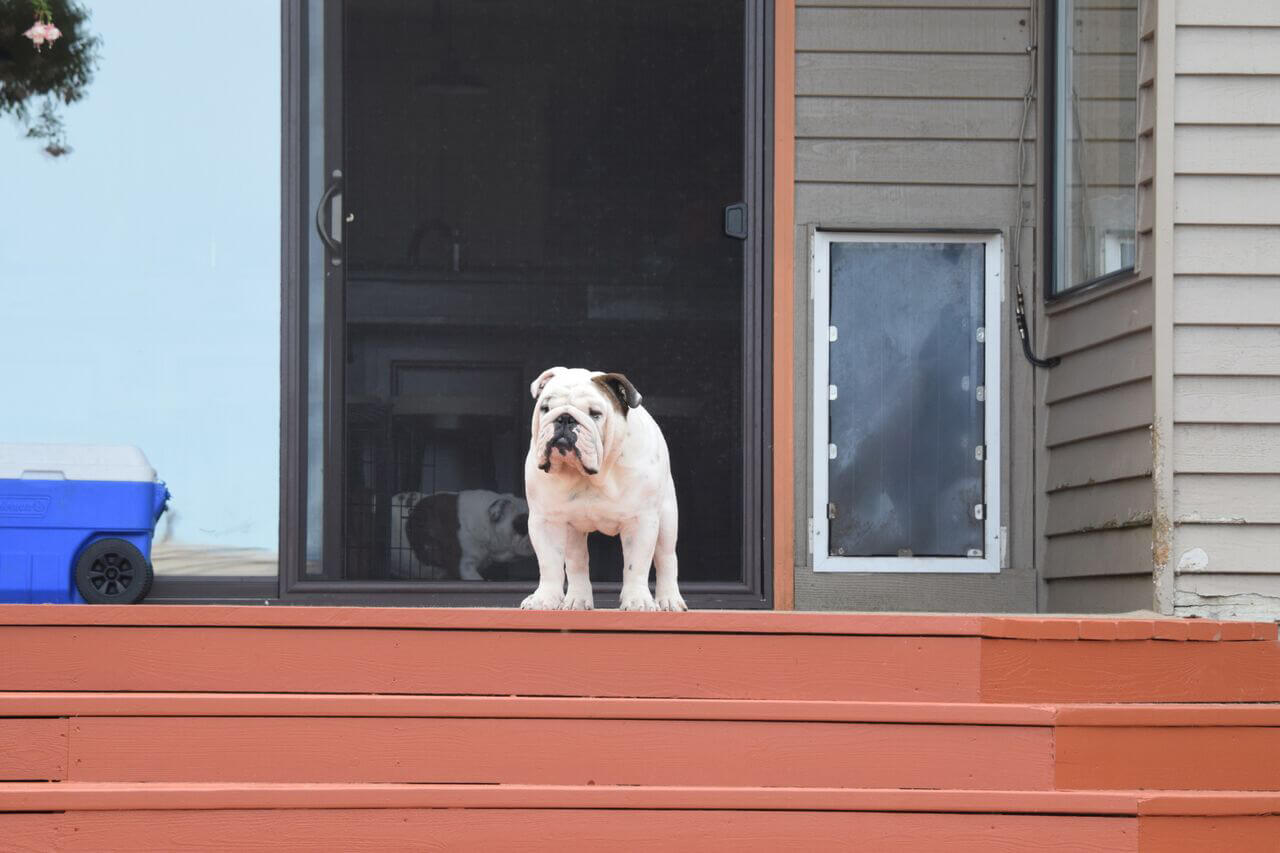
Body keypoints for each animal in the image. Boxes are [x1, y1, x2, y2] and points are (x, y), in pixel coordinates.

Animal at [519, 361, 686, 607]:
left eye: (595, 414)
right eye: (546, 408)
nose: (565, 419)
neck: (592, 474)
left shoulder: (641, 521)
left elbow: (636, 565)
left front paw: (637, 600)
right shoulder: (545, 520)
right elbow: (549, 564)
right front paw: (543, 599)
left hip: (666, 518)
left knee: (666, 558)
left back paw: (669, 600)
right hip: (573, 530)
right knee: (577, 561)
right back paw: (577, 600)